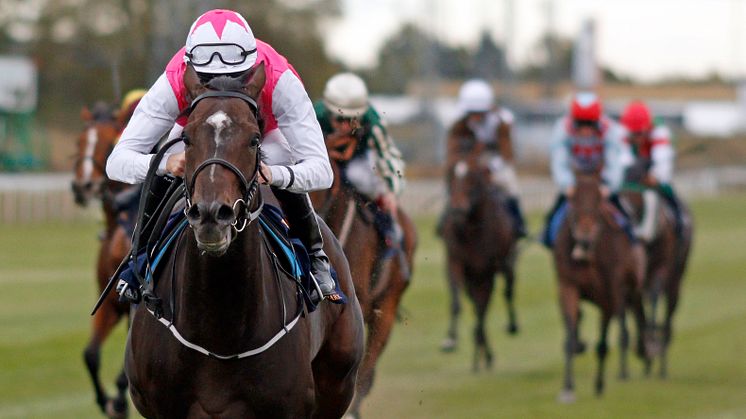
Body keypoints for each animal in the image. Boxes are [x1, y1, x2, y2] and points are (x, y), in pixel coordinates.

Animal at [436, 159, 516, 372]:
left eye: (473, 179)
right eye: (451, 177)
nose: (457, 209)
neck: (473, 230)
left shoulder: (488, 271)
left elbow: (483, 310)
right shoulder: (455, 262)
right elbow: (457, 302)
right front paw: (450, 339)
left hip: (499, 269)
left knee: (503, 293)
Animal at [548, 171, 648, 404]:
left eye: (597, 204)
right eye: (574, 203)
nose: (584, 239)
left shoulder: (609, 293)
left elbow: (603, 344)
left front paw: (600, 384)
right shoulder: (568, 286)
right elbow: (570, 338)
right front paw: (568, 388)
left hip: (632, 285)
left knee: (635, 317)